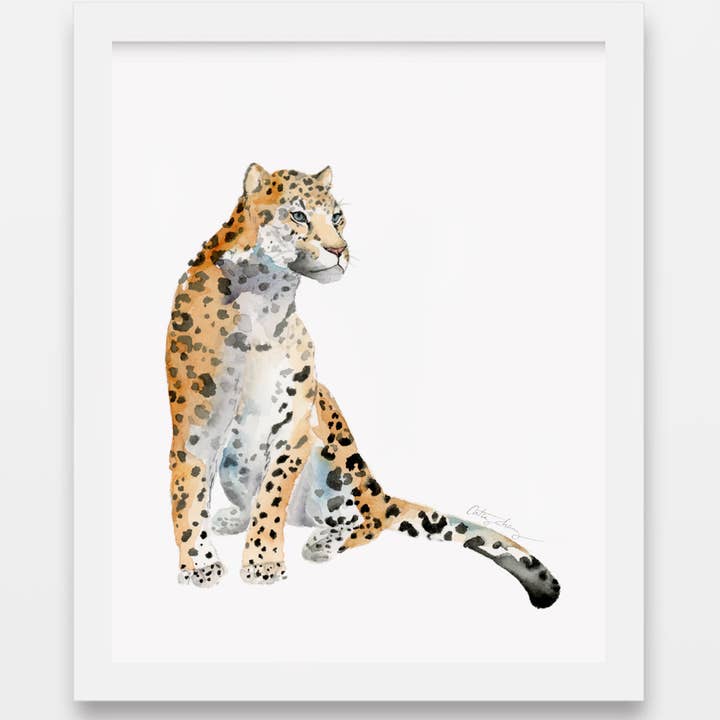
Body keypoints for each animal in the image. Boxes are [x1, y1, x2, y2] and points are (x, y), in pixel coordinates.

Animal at [165, 163, 561, 608]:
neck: (265, 299)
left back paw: (321, 541)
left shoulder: (294, 424)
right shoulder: (197, 423)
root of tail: (378, 490)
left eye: (338, 218)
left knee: (364, 520)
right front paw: (199, 565)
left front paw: (263, 562)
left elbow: (272, 496)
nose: (339, 250)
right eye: (298, 215)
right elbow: (188, 493)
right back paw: (234, 517)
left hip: (335, 455)